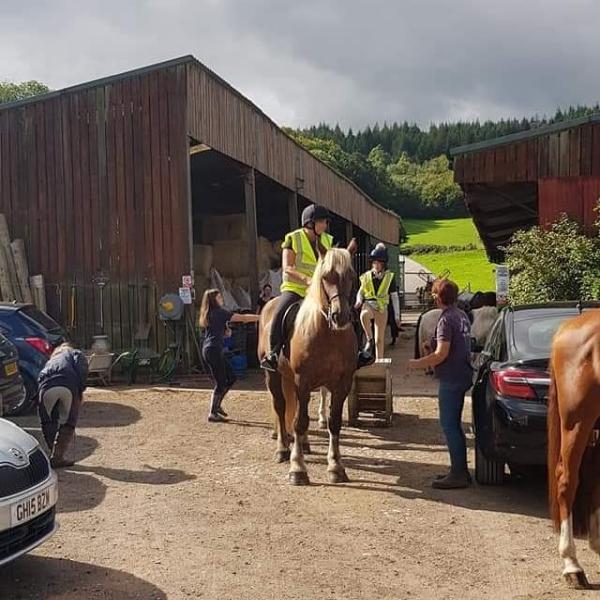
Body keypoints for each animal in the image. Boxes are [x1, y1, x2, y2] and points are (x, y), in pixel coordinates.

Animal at [256, 246, 356, 486]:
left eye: (351, 276)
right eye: (326, 276)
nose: (340, 316)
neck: (328, 334)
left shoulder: (342, 383)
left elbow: (334, 422)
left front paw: (336, 467)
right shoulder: (303, 380)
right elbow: (299, 421)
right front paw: (298, 469)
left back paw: (305, 445)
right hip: (273, 376)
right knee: (281, 407)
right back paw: (283, 449)